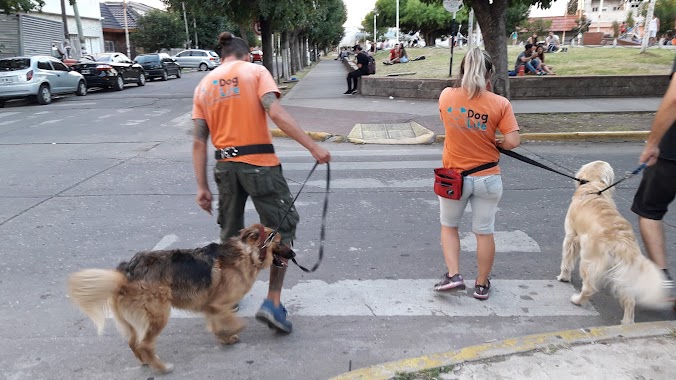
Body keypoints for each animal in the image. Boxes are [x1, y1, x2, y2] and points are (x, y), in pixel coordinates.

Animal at [66, 224, 296, 372]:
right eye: (279, 241)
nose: (293, 254)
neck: (247, 253)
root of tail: (127, 270)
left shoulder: (211, 307)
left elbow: (216, 324)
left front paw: (224, 337)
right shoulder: (218, 304)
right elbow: (235, 322)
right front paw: (230, 332)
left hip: (135, 321)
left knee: (134, 342)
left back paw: (146, 362)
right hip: (158, 315)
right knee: (145, 344)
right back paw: (161, 368)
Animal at [556, 160, 672, 324]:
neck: (593, 187)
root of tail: (621, 240)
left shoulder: (571, 236)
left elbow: (566, 260)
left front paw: (563, 277)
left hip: (589, 262)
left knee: (589, 288)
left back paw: (577, 300)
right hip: (624, 273)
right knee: (629, 299)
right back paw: (627, 323)